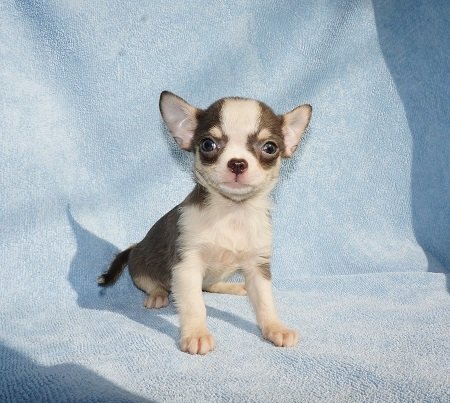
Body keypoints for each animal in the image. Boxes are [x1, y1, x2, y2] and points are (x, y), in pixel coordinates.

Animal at [98, 91, 312, 354]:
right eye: (208, 144)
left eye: (270, 147)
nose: (237, 163)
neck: (231, 213)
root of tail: (134, 246)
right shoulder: (186, 267)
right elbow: (194, 305)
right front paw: (196, 334)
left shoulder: (257, 267)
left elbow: (264, 302)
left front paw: (275, 327)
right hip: (140, 270)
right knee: (155, 284)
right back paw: (158, 294)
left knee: (210, 285)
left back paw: (233, 287)